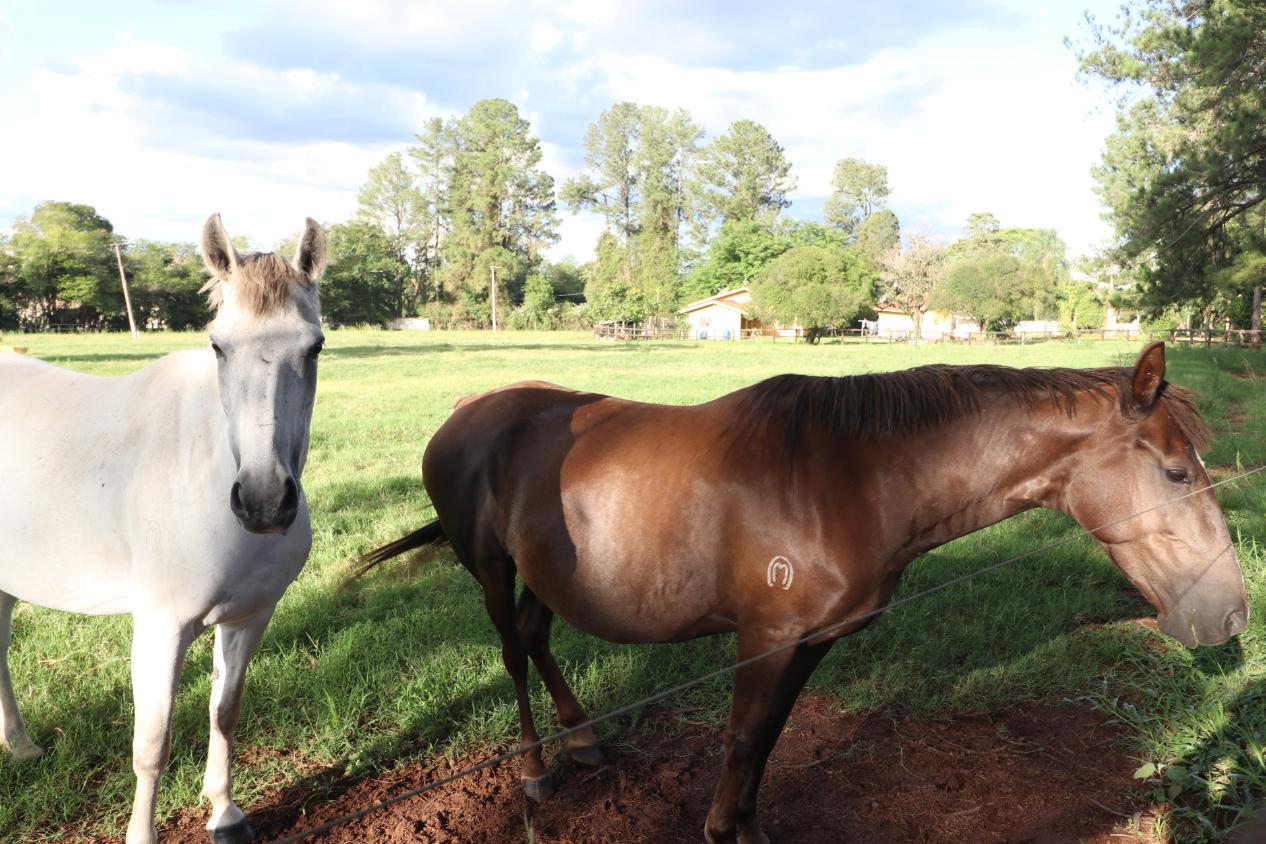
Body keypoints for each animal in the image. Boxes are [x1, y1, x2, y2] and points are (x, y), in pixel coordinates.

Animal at [0, 215, 331, 840]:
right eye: (218, 345)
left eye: (316, 346)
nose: (263, 502)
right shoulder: (159, 629)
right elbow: (151, 746)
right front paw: (141, 832)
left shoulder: (251, 618)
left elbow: (225, 713)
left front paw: (224, 812)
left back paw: (22, 746)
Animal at [359, 339, 1245, 840]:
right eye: (1176, 471)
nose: (1231, 611)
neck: (852, 480)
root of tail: (468, 408)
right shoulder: (764, 641)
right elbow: (742, 741)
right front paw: (722, 829)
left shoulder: (810, 643)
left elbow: (767, 746)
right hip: (490, 569)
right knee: (512, 653)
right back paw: (538, 768)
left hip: (545, 573)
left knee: (539, 638)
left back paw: (583, 739)